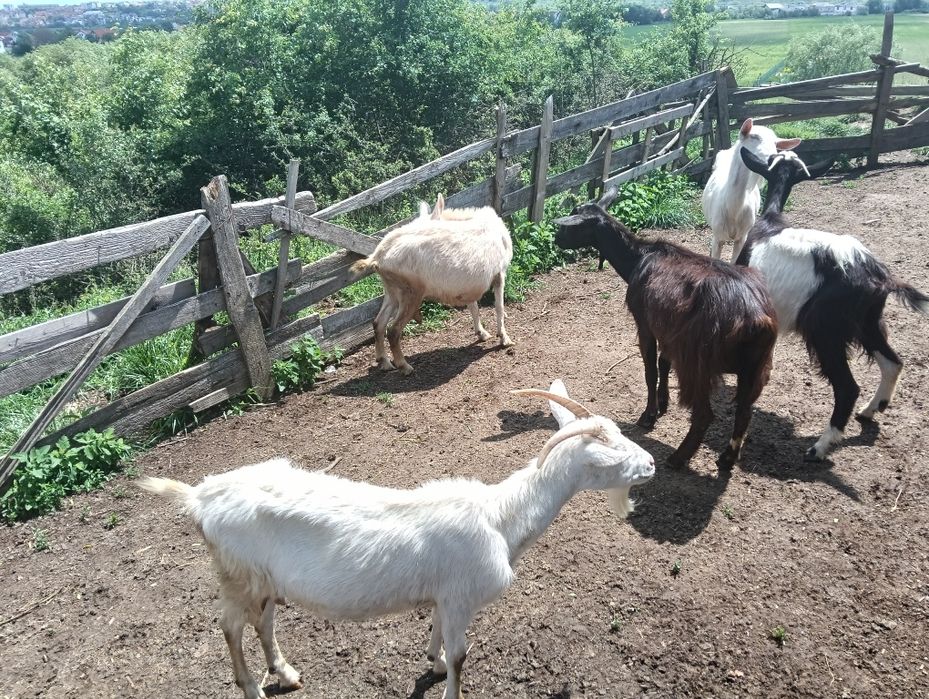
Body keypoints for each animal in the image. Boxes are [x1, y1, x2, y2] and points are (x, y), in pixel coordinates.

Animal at [139, 380, 655, 699]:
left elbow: (438, 633)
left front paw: (433, 661)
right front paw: (450, 685)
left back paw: (285, 672)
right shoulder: (463, 596)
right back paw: (251, 687)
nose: (650, 464)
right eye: (609, 457)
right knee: (230, 626)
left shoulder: (446, 596)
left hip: (262, 580)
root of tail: (199, 496)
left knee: (262, 624)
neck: (501, 517)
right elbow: (463, 656)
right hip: (237, 576)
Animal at [350, 194, 513, 375]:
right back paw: (405, 367)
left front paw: (482, 334)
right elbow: (499, 307)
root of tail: (377, 257)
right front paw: (505, 339)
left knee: (378, 323)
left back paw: (384, 362)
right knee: (393, 330)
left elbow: (474, 307)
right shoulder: (500, 273)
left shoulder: (469, 284)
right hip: (411, 293)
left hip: (391, 291)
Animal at [555, 188, 778, 468]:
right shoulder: (669, 331)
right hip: (756, 367)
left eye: (572, 224)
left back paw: (678, 457)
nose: (556, 240)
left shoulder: (645, 324)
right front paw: (663, 403)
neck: (639, 258)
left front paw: (649, 415)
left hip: (699, 362)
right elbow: (663, 363)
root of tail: (758, 320)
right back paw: (727, 458)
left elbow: (650, 370)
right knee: (744, 411)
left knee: (705, 414)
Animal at [702, 118, 801, 262]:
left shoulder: (742, 237)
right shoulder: (718, 236)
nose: (773, 157)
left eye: (776, 143)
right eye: (754, 136)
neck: (733, 210)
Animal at [737, 148, 929, 461]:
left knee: (848, 387)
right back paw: (871, 410)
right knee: (893, 362)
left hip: (826, 329)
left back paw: (820, 447)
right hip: (868, 321)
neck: (770, 221)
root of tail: (879, 276)